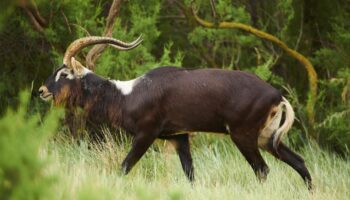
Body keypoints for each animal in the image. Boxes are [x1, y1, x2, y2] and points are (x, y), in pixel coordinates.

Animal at [38, 35, 312, 189]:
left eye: (64, 73)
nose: (41, 90)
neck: (128, 94)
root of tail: (277, 95)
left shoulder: (146, 135)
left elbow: (124, 166)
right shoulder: (179, 137)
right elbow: (190, 174)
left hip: (243, 137)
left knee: (262, 169)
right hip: (266, 138)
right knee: (298, 161)